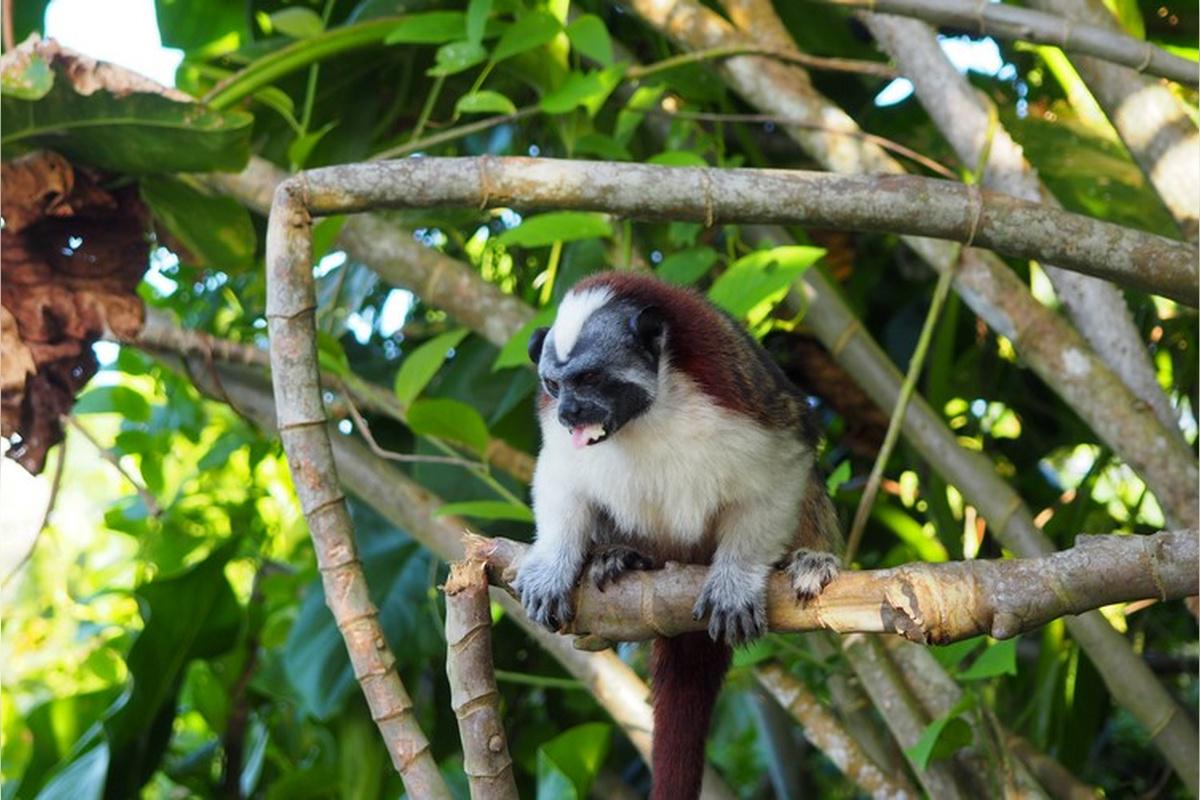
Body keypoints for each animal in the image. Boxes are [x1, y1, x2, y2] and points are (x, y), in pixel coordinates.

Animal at [514, 271, 841, 800]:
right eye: (554, 385)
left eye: (588, 380)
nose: (568, 414)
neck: (648, 412)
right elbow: (561, 477)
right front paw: (553, 567)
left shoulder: (739, 395)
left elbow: (783, 465)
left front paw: (735, 580)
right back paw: (621, 556)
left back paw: (810, 559)